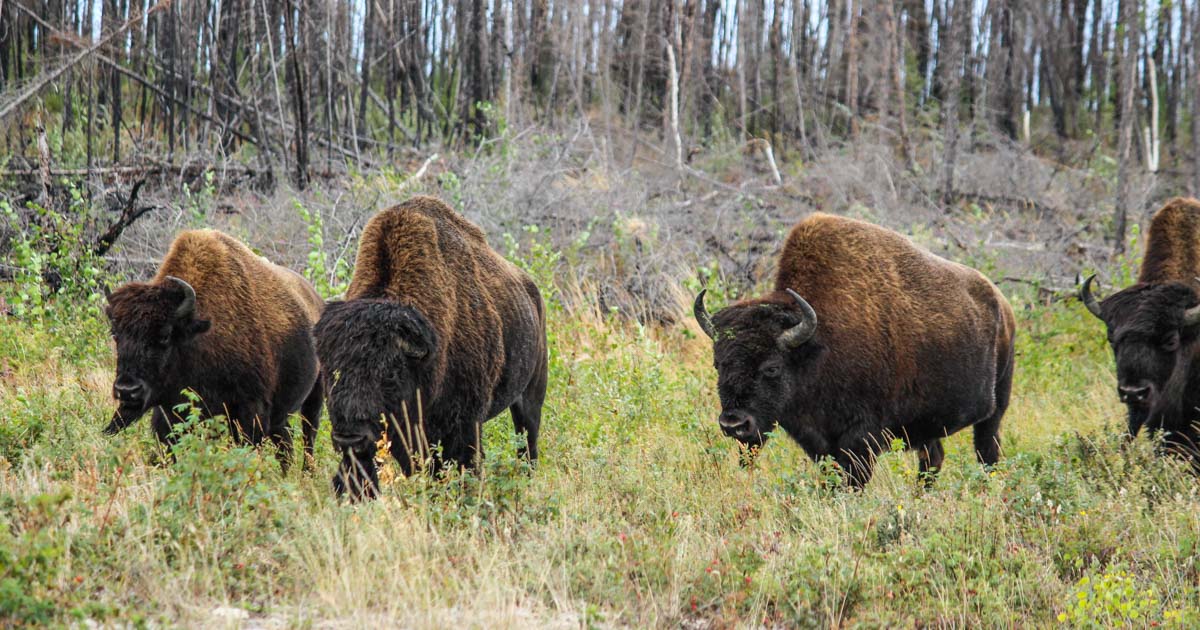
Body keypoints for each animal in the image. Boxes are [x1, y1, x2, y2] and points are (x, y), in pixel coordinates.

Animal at [103, 228, 324, 468]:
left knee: (308, 437)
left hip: (315, 396)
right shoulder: (169, 415)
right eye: (115, 334)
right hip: (281, 417)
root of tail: (316, 300)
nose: (127, 390)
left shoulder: (250, 410)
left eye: (165, 336)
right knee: (285, 446)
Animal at [314, 196, 549, 501]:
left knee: (527, 443)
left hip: (531, 396)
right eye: (331, 372)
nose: (350, 436)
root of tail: (532, 292)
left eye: (389, 373)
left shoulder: (463, 424)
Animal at [696, 212, 1012, 487]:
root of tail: (1002, 304)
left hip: (995, 411)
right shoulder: (818, 441)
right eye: (718, 364)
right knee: (933, 458)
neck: (817, 344)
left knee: (987, 453)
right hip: (927, 425)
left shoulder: (861, 438)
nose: (734, 424)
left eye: (772, 367)